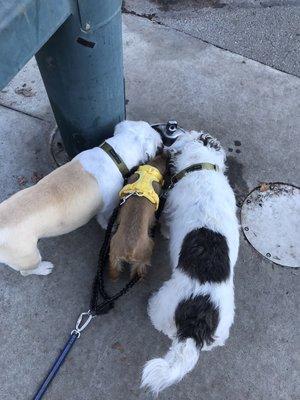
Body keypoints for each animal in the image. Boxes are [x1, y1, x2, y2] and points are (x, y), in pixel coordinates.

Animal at [0, 120, 162, 276]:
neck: (115, 155)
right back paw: (44, 268)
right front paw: (108, 226)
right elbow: (104, 219)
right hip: (28, 256)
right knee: (25, 271)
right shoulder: (108, 207)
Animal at [108, 152, 169, 280]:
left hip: (114, 254)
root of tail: (129, 250)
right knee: (139, 270)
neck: (149, 172)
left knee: (114, 270)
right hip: (147, 249)